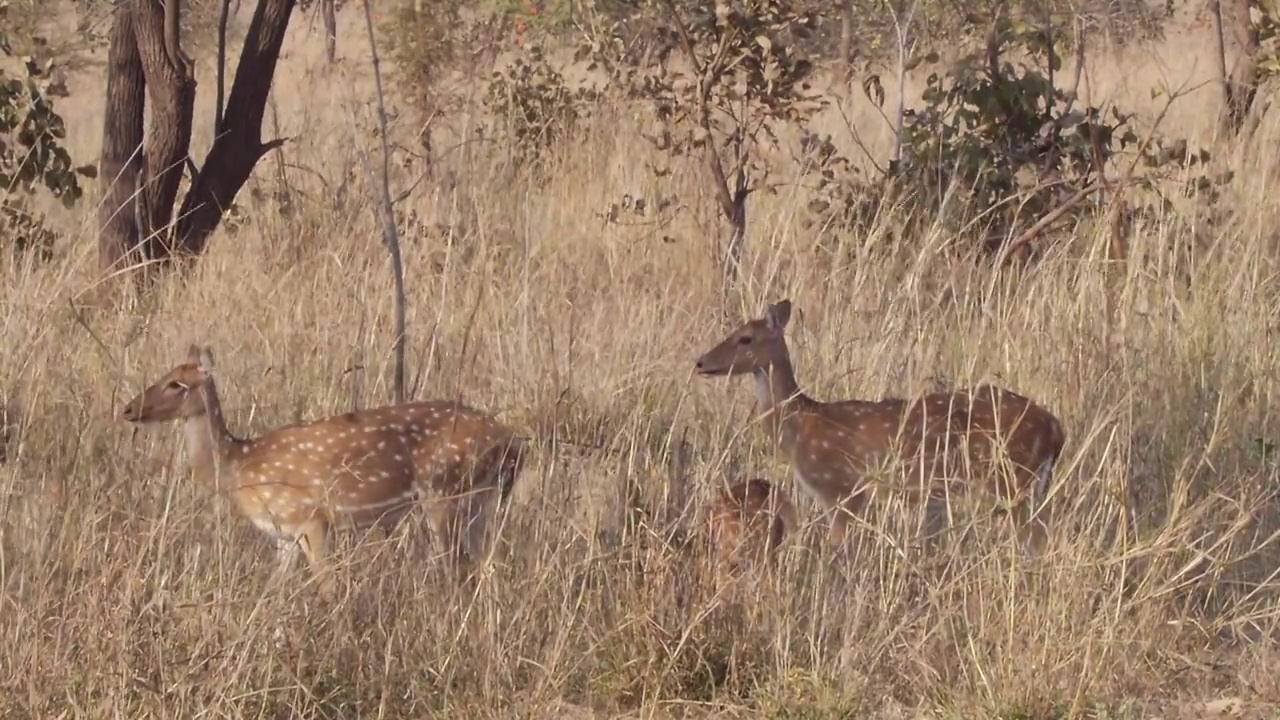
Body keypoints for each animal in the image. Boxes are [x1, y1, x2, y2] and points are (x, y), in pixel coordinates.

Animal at [116, 345, 524, 586]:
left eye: (176, 384)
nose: (129, 409)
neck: (239, 465)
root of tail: (512, 443)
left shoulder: (311, 519)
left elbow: (327, 587)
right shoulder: (283, 535)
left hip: (444, 493)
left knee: (458, 569)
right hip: (480, 499)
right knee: (491, 564)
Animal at [696, 297, 1064, 548]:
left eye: (745, 338)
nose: (700, 362)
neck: (800, 425)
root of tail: (1055, 428)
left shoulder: (841, 490)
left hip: (1009, 481)